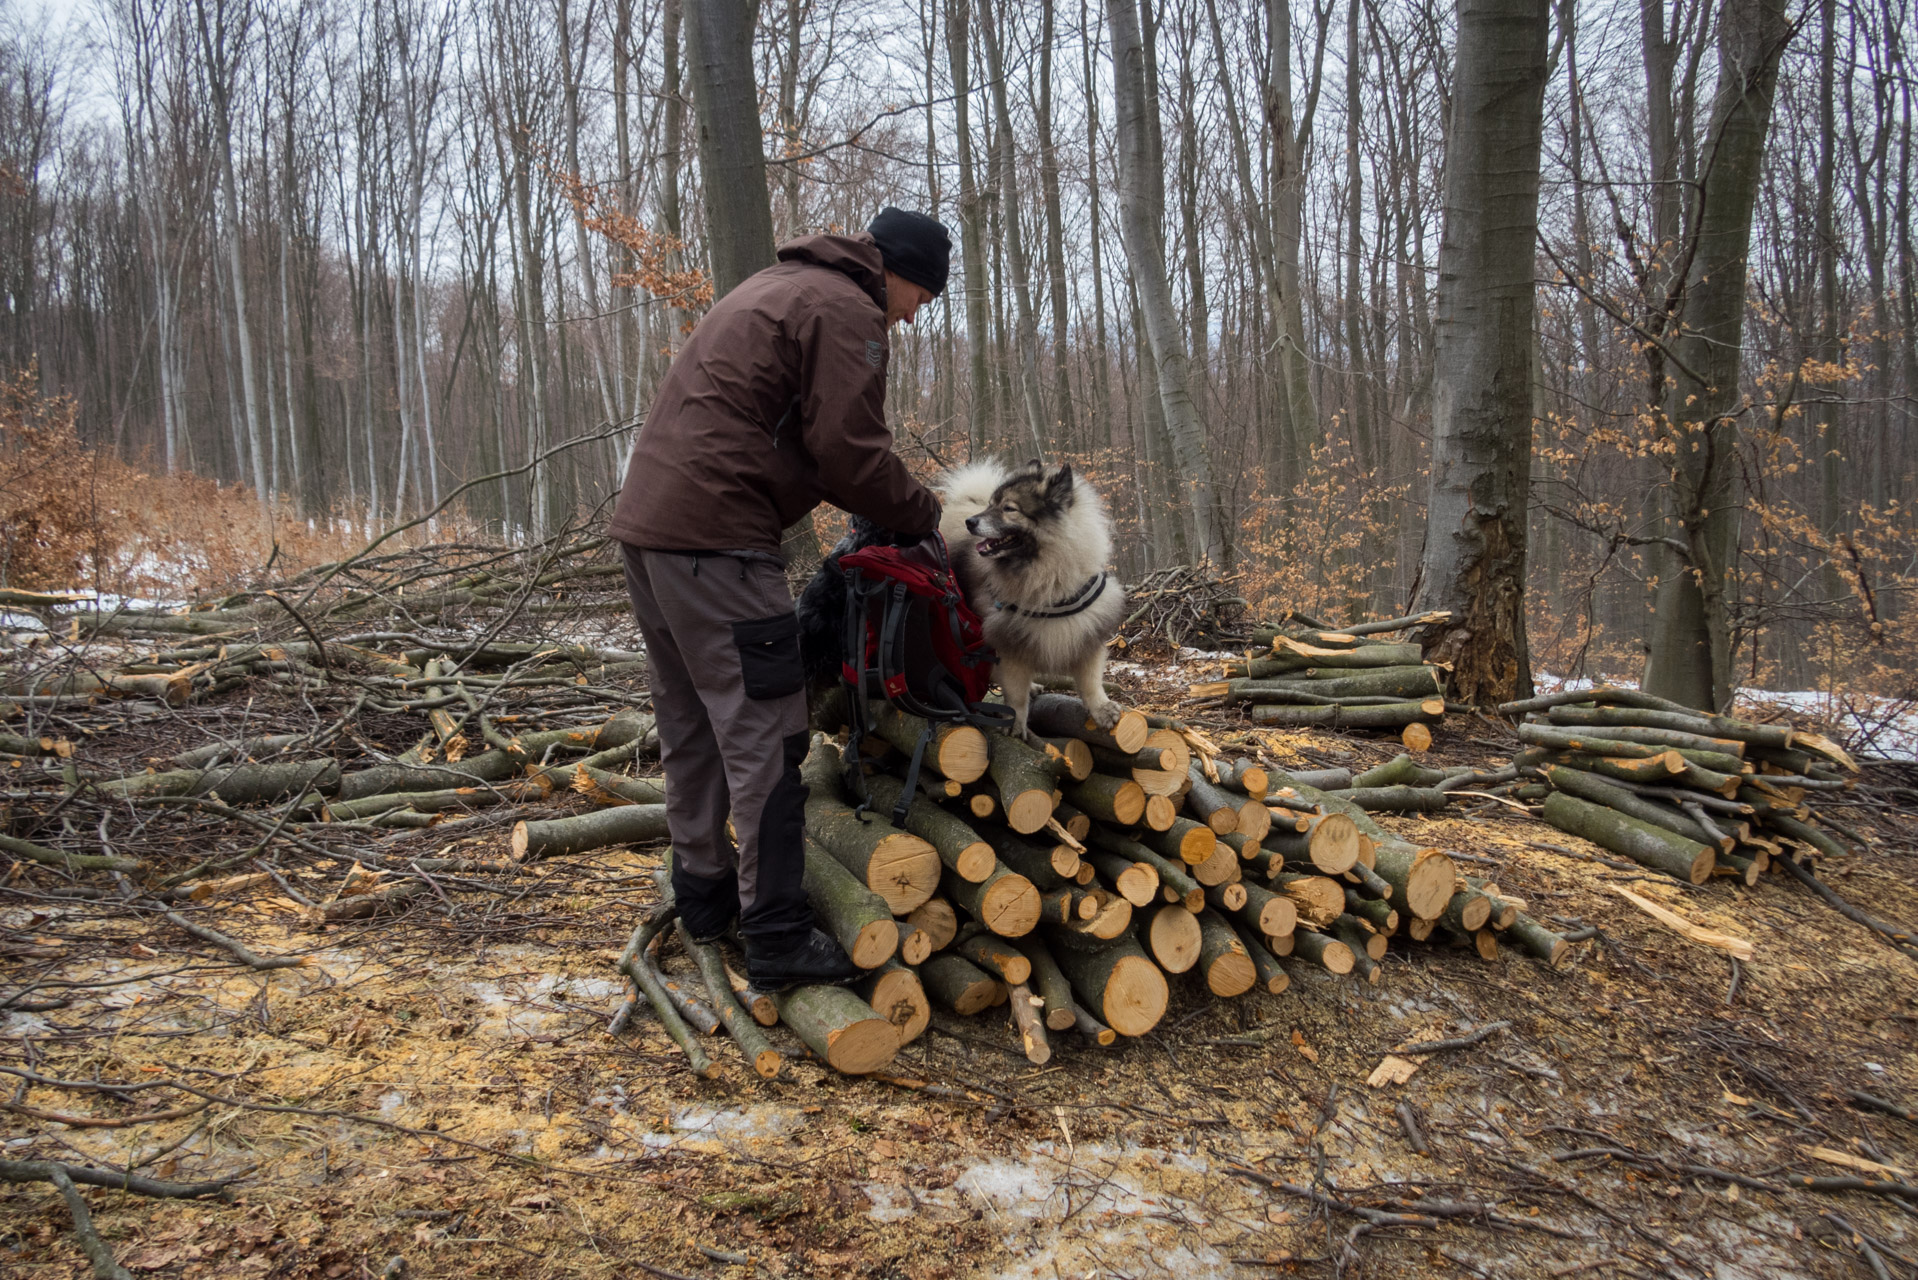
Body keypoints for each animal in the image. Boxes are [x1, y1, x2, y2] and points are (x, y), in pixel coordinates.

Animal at [939, 460, 1127, 740]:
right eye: (991, 504)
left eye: (1008, 508)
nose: (970, 522)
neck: (1049, 576)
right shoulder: (1008, 640)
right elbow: (1015, 693)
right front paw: (1015, 723)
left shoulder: (1087, 630)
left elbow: (1091, 679)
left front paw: (1101, 708)